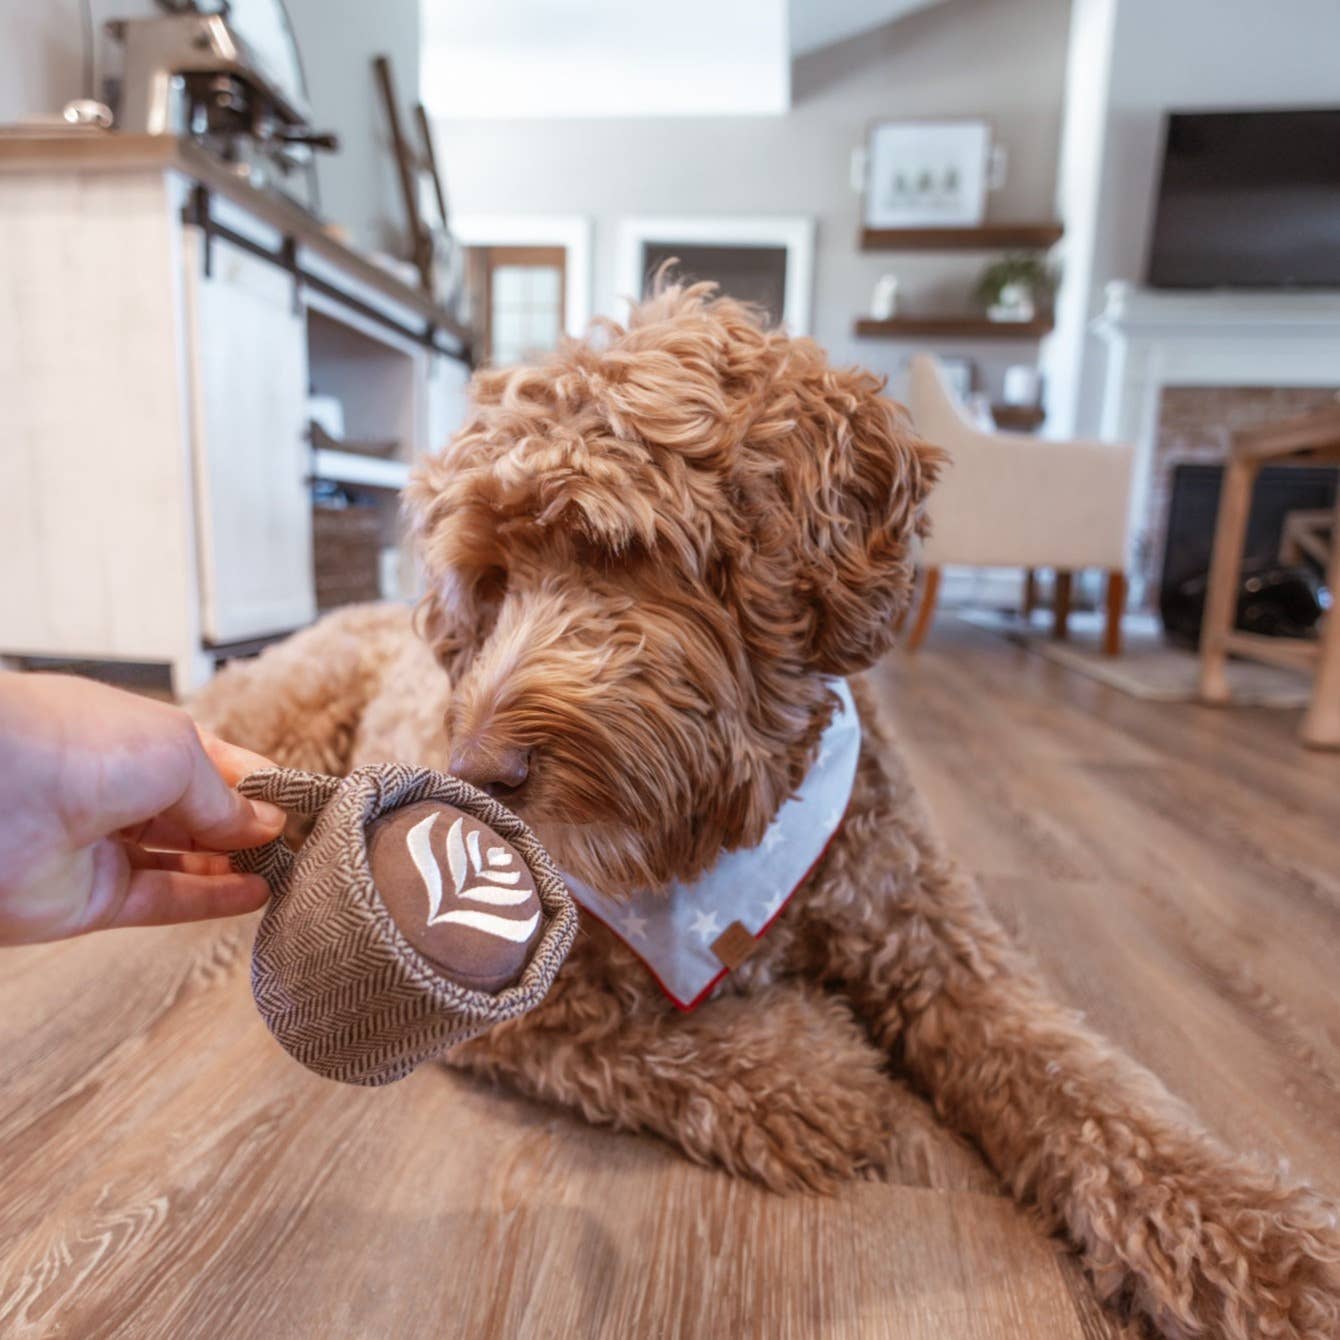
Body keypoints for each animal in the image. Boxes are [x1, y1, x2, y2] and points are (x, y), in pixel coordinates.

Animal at [195, 282, 1340, 1340]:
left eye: (615, 549)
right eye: (488, 582)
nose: (474, 766)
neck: (722, 839)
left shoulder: (942, 951)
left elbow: (1091, 1086)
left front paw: (1266, 1248)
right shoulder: (522, 1012)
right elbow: (659, 1044)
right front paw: (818, 1067)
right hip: (283, 717)